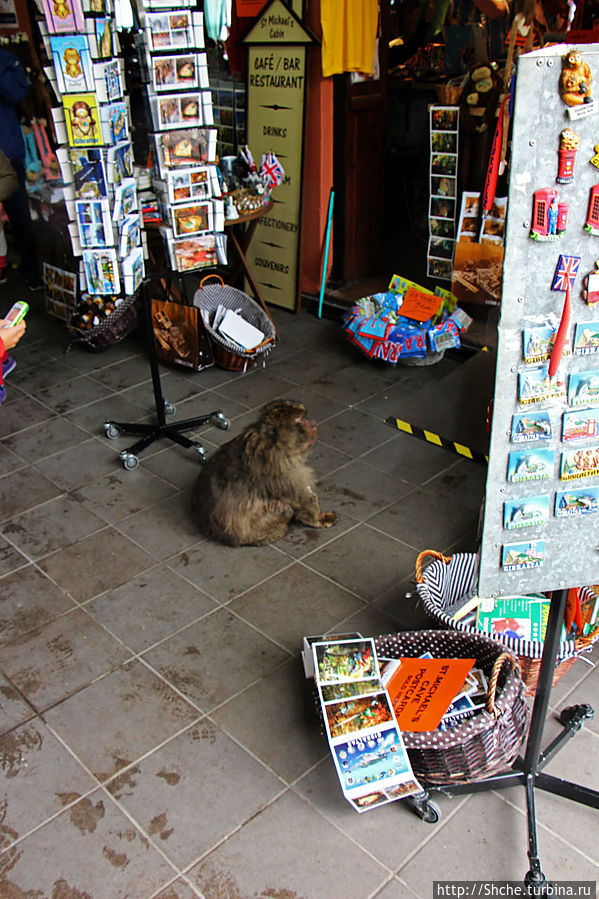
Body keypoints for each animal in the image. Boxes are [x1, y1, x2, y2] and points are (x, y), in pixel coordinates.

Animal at [195, 400, 340, 540]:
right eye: (301, 421)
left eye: (305, 418)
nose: (313, 424)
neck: (275, 443)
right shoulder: (284, 468)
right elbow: (302, 497)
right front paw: (319, 519)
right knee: (285, 509)